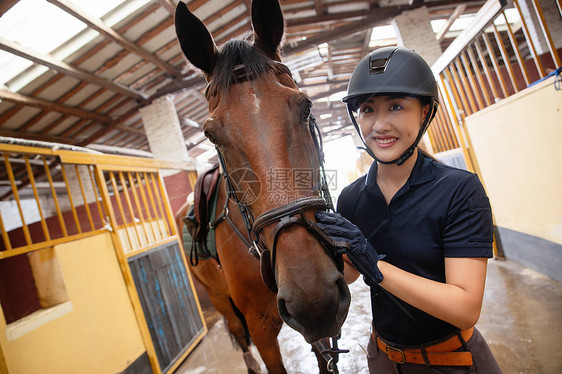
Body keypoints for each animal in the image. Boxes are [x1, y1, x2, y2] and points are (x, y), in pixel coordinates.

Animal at [175, 1, 350, 372]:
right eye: (211, 135)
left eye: (306, 107)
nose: (312, 296)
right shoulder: (261, 329)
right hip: (218, 299)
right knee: (236, 332)